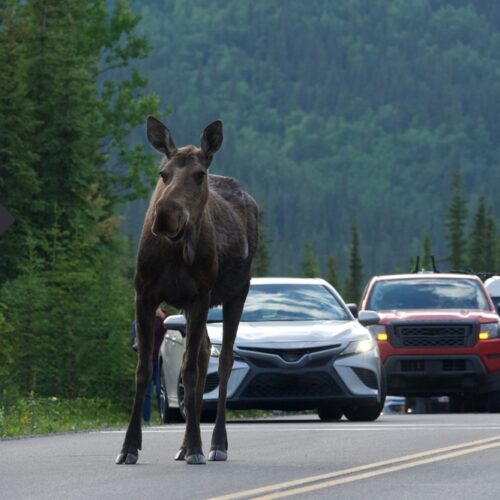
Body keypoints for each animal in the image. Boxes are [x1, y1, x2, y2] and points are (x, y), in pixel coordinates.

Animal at [116, 115, 258, 462]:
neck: (175, 251)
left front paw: (196, 446)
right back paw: (183, 446)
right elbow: (145, 369)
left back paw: (216, 444)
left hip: (237, 292)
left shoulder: (200, 296)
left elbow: (191, 371)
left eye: (198, 175)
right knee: (205, 353)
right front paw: (129, 447)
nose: (165, 215)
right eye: (163, 174)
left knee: (223, 361)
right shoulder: (144, 294)